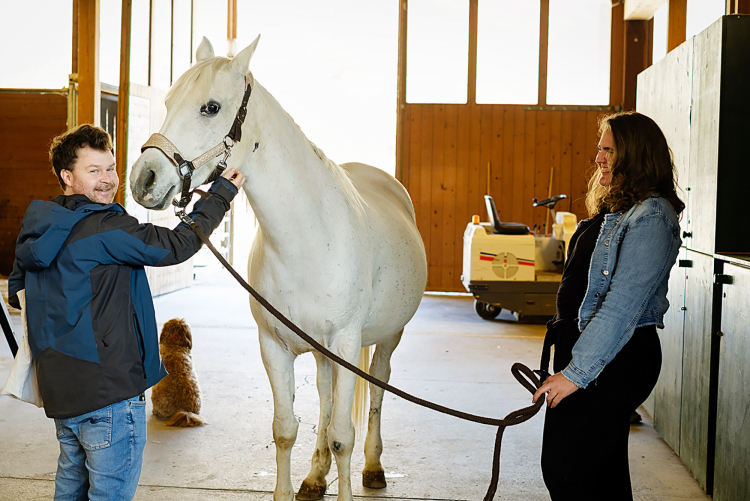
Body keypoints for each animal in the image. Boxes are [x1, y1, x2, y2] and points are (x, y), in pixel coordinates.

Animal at [129, 36, 428, 500]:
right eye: (168, 101)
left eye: (211, 107)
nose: (144, 179)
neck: (307, 241)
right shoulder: (274, 345)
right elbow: (286, 429)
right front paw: (294, 484)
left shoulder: (346, 344)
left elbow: (343, 434)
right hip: (323, 353)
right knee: (324, 396)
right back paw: (315, 476)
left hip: (386, 337)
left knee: (377, 386)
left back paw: (374, 467)